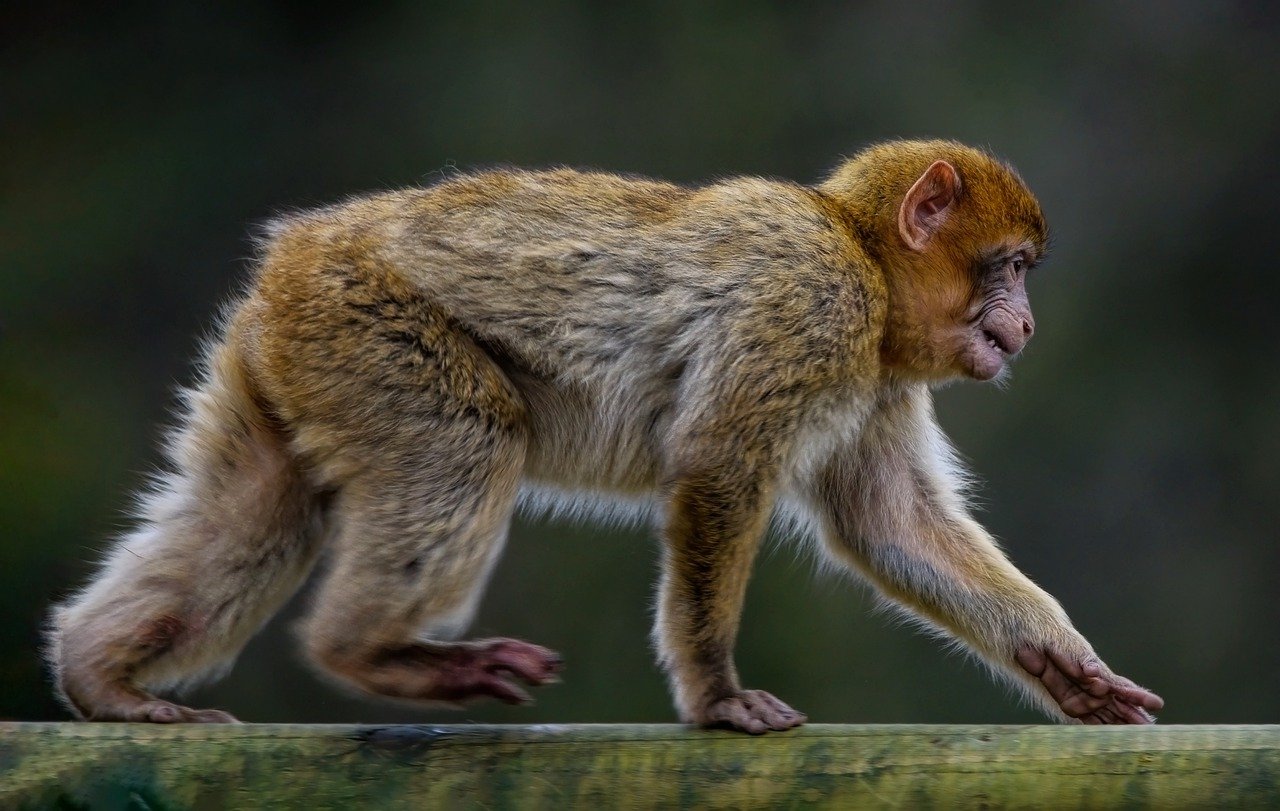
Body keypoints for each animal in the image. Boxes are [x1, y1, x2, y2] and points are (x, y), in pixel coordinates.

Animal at [45, 135, 1167, 731]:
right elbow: (718, 467)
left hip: (288, 351)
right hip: (362, 321)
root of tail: (299, 248)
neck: (860, 256)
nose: (1026, 323)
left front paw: (1058, 661)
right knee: (466, 439)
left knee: (255, 506)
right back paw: (368, 651)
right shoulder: (809, 303)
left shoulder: (878, 375)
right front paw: (714, 694)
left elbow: (888, 521)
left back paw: (104, 679)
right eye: (1008, 266)